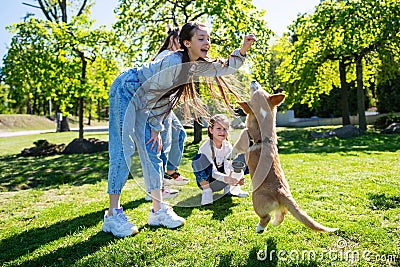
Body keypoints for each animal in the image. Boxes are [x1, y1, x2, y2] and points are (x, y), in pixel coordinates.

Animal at [231, 81, 338, 234]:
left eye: (256, 90)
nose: (254, 81)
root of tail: (281, 191)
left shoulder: (243, 137)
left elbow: (235, 148)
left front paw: (229, 155)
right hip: (280, 207)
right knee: (282, 214)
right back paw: (275, 223)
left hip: (256, 199)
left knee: (266, 217)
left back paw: (260, 228)